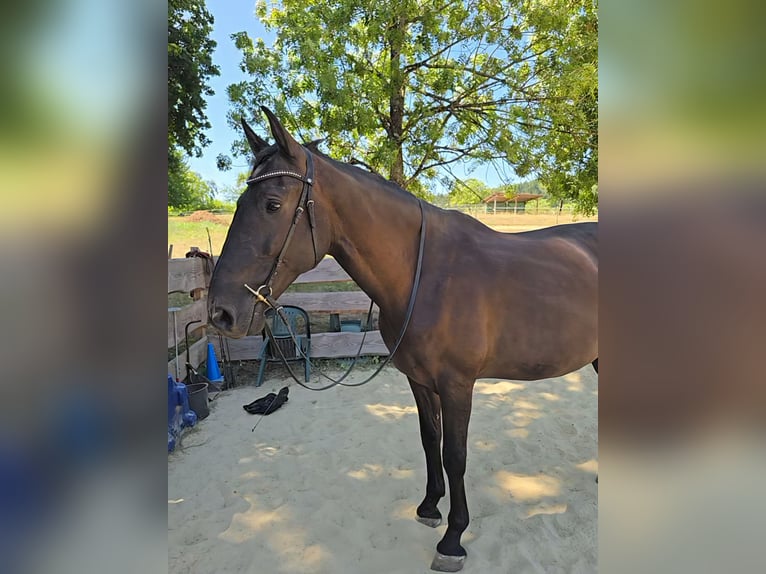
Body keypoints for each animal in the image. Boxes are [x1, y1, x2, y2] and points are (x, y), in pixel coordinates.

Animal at [208, 107, 598, 572]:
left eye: (272, 204)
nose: (221, 312)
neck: (425, 274)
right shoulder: (419, 380)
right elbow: (430, 441)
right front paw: (430, 508)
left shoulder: (457, 384)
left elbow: (455, 455)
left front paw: (453, 539)